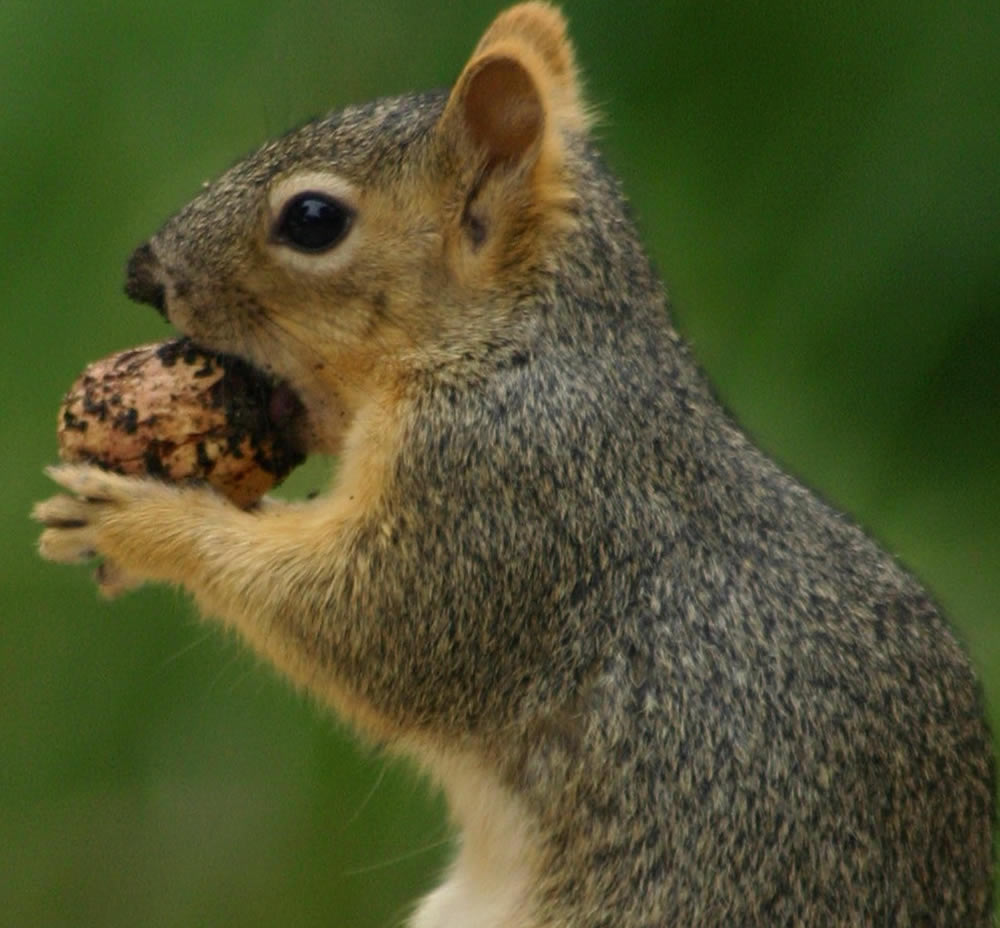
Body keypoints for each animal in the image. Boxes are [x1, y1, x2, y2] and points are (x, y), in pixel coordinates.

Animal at [31, 3, 992, 924]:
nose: (142, 275)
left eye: (312, 220)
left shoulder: (509, 491)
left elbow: (371, 623)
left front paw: (140, 517)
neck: (512, 347)